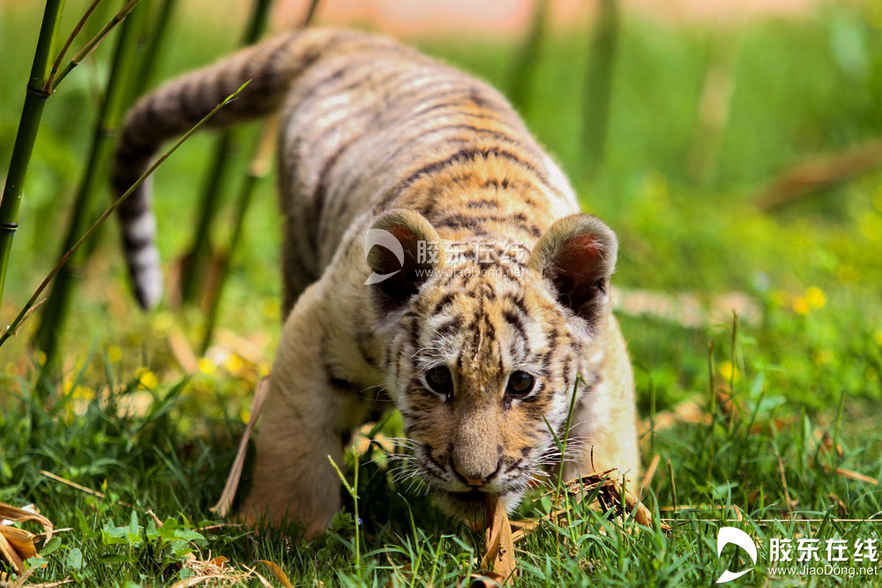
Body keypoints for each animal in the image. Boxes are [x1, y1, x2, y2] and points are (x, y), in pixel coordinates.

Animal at [111, 27, 639, 537]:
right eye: (438, 379)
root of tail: (362, 42)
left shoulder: (603, 357)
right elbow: (295, 441)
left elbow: (605, 444)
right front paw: (279, 531)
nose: (474, 476)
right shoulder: (319, 323)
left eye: (522, 383)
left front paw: (605, 514)